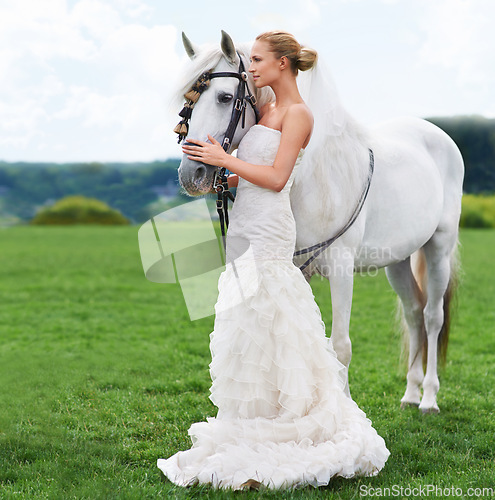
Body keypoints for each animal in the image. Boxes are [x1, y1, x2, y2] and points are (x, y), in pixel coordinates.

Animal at [174, 31, 464, 414]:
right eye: (188, 102)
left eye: (223, 97)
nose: (191, 174)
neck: (306, 180)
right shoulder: (298, 267)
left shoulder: (340, 269)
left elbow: (339, 345)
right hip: (398, 259)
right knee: (414, 313)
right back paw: (411, 393)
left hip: (438, 248)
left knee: (433, 317)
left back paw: (429, 398)